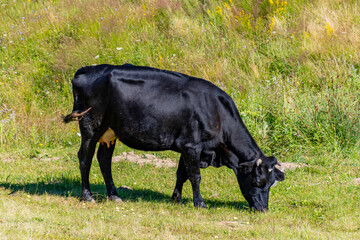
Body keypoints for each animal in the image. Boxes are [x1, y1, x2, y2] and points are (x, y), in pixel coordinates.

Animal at [64, 63, 284, 212]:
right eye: (258, 182)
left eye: (272, 183)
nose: (263, 209)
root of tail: (85, 70)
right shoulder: (192, 146)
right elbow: (195, 176)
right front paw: (200, 203)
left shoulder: (188, 147)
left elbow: (181, 173)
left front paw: (176, 198)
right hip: (90, 126)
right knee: (85, 158)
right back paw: (87, 196)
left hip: (110, 132)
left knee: (104, 160)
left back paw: (114, 196)